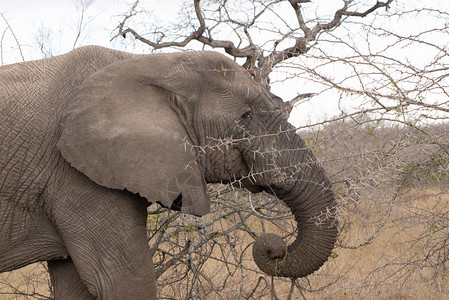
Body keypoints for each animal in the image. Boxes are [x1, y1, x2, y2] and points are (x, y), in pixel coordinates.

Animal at [0, 45, 336, 298]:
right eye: (246, 116)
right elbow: (123, 281)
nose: (275, 247)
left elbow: (77, 284)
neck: (153, 64)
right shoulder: (77, 176)